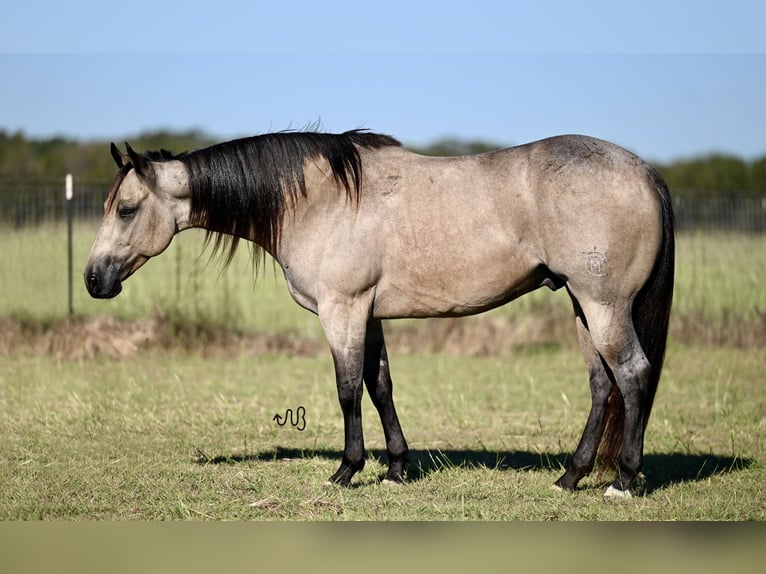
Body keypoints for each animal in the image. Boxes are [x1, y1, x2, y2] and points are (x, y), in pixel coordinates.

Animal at [82, 130, 672, 500]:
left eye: (126, 209)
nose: (93, 279)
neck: (317, 199)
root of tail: (643, 169)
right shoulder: (368, 314)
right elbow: (380, 384)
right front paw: (394, 469)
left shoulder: (342, 310)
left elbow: (347, 389)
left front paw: (347, 470)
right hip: (580, 306)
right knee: (602, 385)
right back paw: (570, 478)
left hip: (602, 306)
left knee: (632, 375)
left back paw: (622, 481)